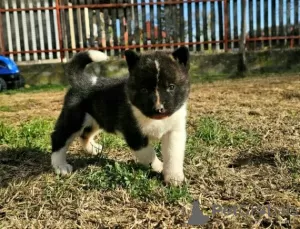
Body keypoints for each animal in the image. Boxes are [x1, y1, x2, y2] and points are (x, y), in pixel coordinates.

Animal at [51, 47, 190, 186]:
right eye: (144, 90)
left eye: (171, 87)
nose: (159, 109)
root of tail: (84, 81)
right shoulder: (134, 135)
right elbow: (148, 154)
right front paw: (159, 167)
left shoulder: (174, 132)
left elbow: (173, 155)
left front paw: (174, 177)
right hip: (74, 120)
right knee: (59, 137)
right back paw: (61, 166)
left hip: (96, 120)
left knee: (85, 135)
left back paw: (93, 149)